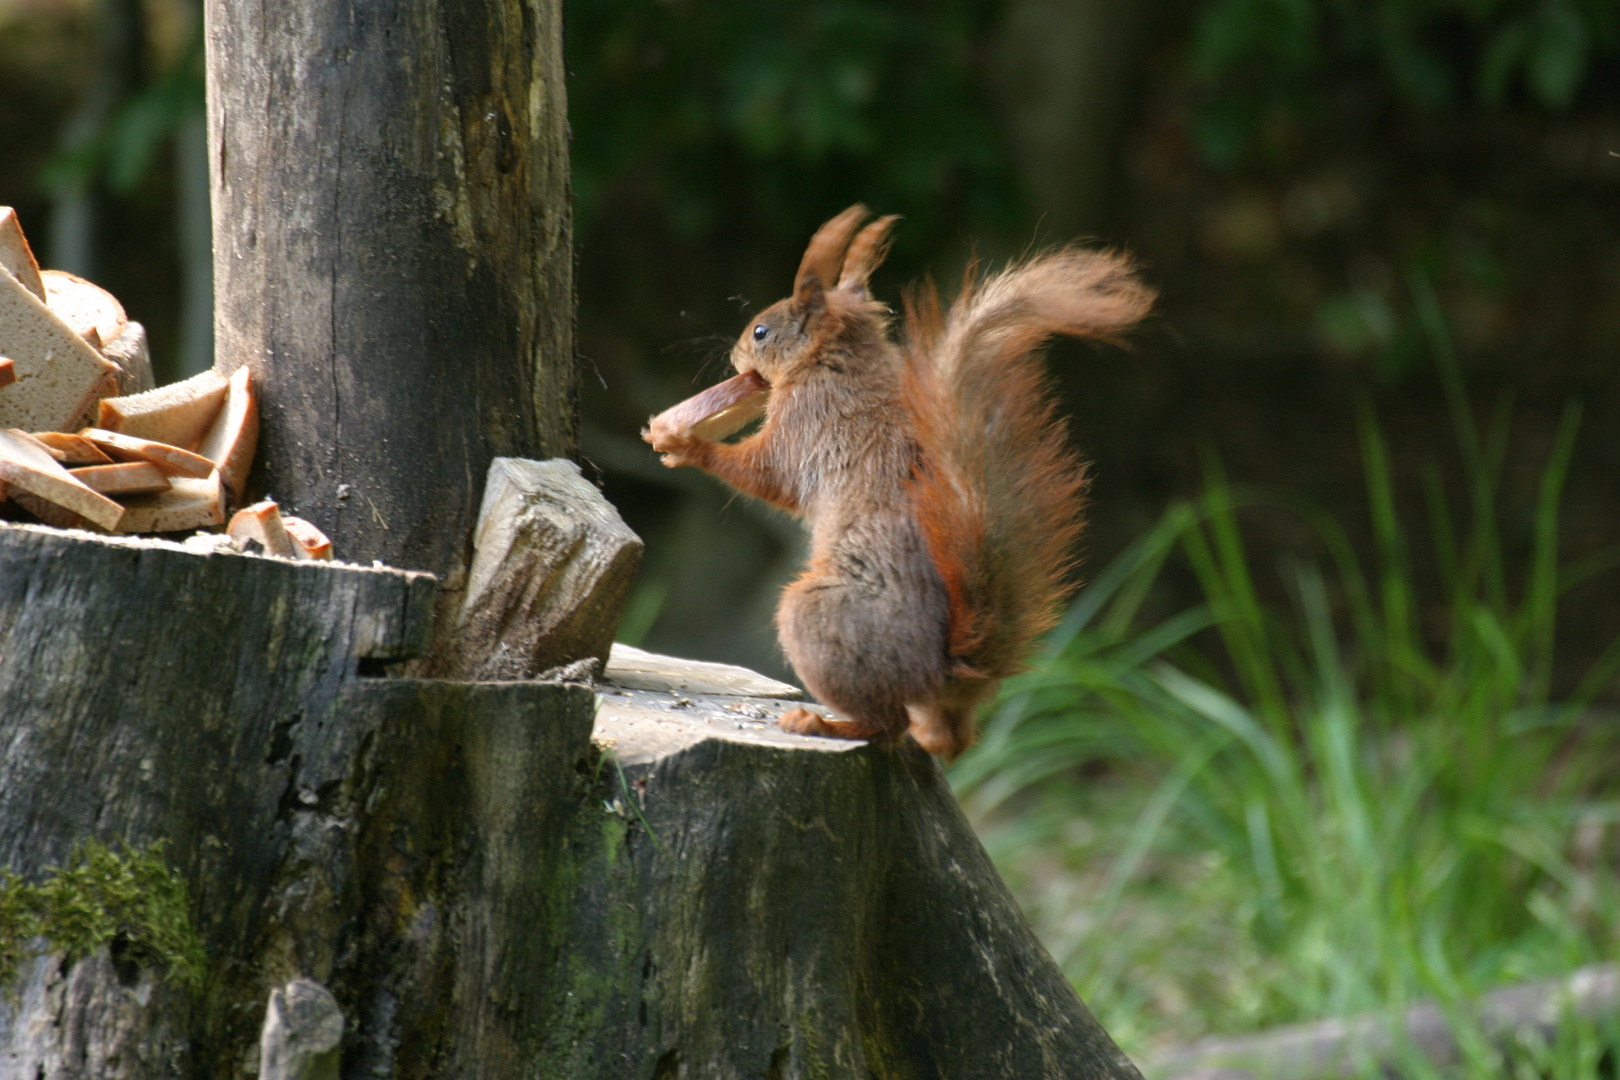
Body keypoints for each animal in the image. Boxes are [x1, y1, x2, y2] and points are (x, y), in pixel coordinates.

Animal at [644, 204, 1153, 761]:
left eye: (760, 331)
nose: (736, 359)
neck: (842, 359)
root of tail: (947, 672)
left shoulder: (806, 424)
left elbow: (767, 475)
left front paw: (686, 445)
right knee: (948, 739)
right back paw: (928, 735)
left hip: (819, 618)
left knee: (884, 724)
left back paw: (821, 723)